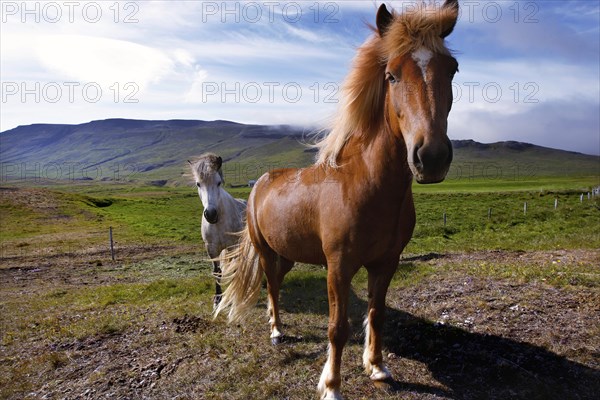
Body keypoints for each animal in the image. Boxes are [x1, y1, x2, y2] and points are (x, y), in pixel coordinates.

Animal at [186, 153, 245, 306]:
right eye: (198, 184)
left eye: (218, 183)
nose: (211, 214)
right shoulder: (211, 248)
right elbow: (217, 271)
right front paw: (218, 297)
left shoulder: (232, 246)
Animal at [214, 1, 460, 398]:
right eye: (391, 75)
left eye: (452, 69)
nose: (432, 157)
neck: (364, 184)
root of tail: (260, 182)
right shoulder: (339, 266)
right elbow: (337, 327)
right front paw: (331, 384)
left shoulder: (386, 263)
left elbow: (377, 314)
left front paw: (377, 367)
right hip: (265, 251)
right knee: (272, 287)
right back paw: (276, 330)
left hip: (288, 253)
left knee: (277, 280)